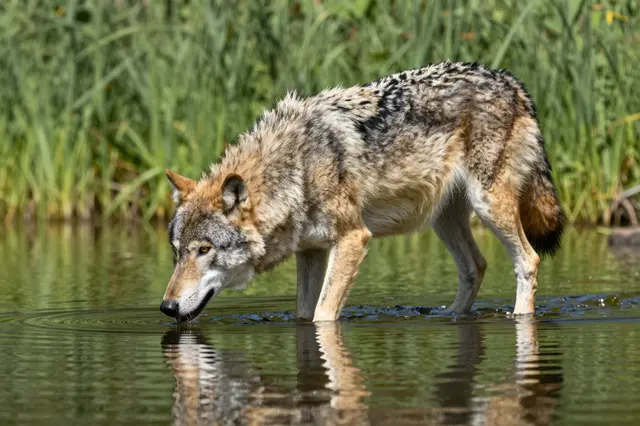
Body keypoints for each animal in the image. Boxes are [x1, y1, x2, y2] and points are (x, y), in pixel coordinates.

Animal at [159, 61, 565, 323]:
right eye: (176, 253)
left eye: (204, 250)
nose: (166, 307)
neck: (297, 166)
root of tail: (510, 80)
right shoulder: (311, 250)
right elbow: (303, 314)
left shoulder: (354, 238)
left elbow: (322, 316)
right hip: (443, 221)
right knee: (475, 267)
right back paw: (450, 316)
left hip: (489, 206)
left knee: (528, 260)